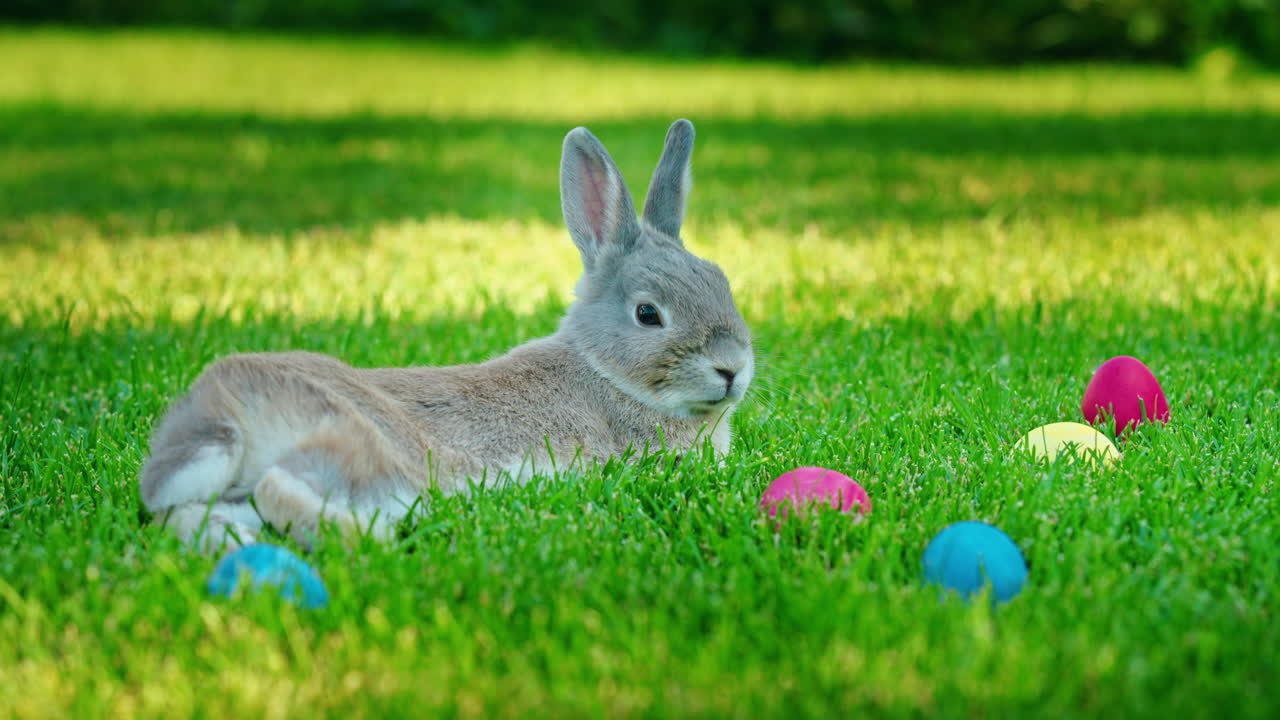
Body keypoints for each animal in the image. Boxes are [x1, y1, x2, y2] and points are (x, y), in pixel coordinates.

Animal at [137, 119, 754, 552]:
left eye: (722, 280)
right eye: (648, 314)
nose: (732, 369)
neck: (604, 372)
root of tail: (227, 404)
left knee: (194, 514)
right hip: (375, 453)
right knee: (285, 486)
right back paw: (372, 538)